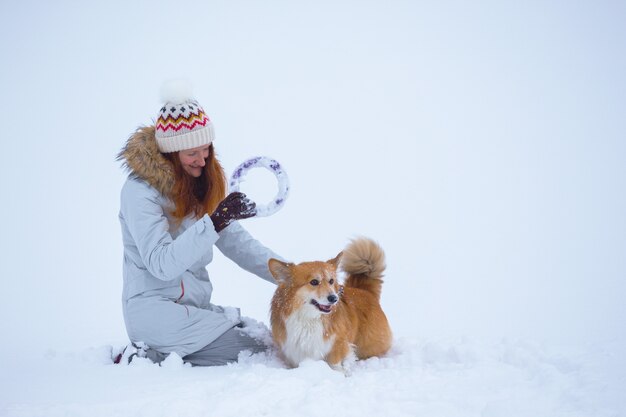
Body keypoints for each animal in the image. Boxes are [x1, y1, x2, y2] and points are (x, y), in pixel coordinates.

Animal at [266, 236, 390, 372]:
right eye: (314, 282)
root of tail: (365, 291)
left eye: (331, 281)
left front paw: (341, 372)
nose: (334, 298)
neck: (309, 319)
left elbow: (334, 363)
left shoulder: (338, 343)